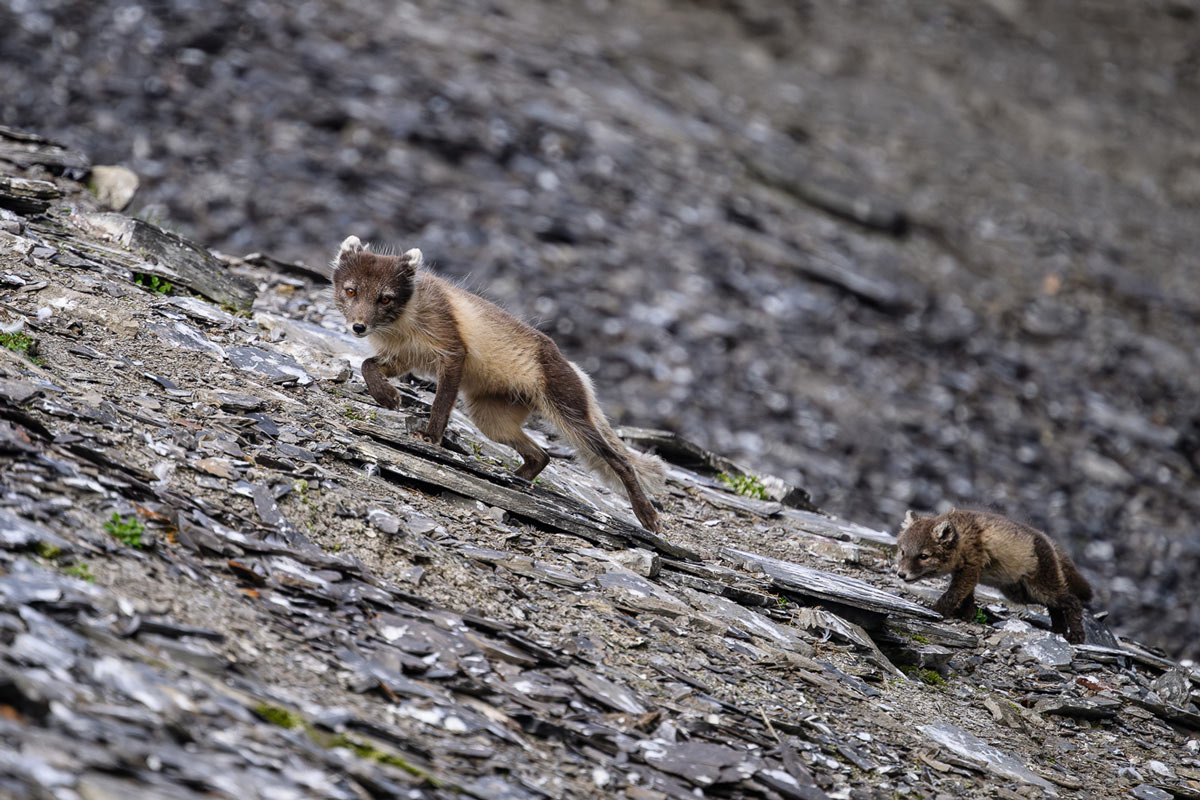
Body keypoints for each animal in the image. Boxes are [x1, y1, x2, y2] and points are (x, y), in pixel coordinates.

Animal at [331, 236, 666, 531]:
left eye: (385, 298)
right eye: (351, 291)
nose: (358, 327)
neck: (402, 323)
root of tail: (572, 366)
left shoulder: (452, 351)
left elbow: (441, 403)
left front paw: (430, 437)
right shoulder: (402, 358)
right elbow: (367, 365)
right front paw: (387, 397)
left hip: (568, 412)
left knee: (619, 460)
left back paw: (646, 514)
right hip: (490, 418)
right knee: (541, 455)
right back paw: (516, 481)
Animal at [896, 509, 1093, 644]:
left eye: (923, 556)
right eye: (903, 552)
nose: (901, 574)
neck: (962, 538)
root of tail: (1048, 540)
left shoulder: (970, 568)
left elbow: (952, 595)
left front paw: (936, 610)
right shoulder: (966, 573)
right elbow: (966, 596)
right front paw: (967, 614)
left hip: (1039, 587)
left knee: (1072, 601)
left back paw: (1076, 636)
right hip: (1021, 592)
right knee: (1055, 607)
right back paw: (1058, 630)